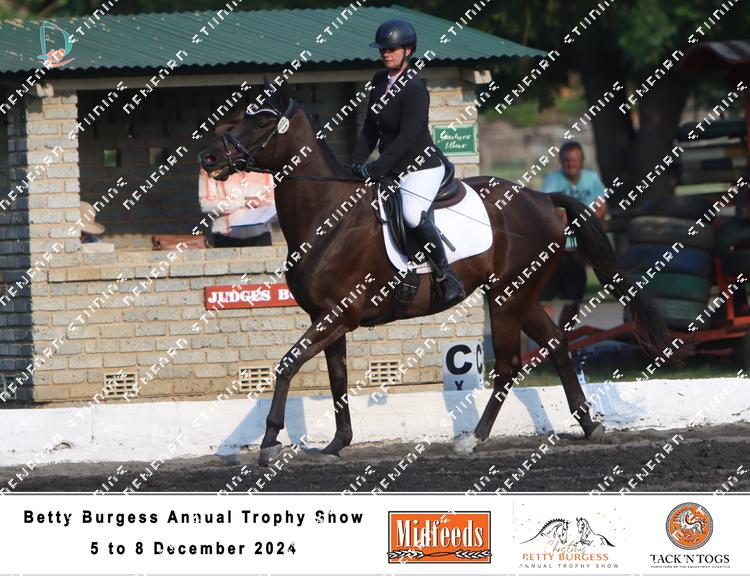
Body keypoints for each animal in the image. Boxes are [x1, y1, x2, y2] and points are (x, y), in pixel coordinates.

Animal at [199, 81, 670, 466]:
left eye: (261, 120)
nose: (209, 157)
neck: (327, 216)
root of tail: (541, 199)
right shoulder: (326, 318)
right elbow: (336, 378)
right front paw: (337, 444)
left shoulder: (338, 316)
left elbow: (287, 364)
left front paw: (269, 443)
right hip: (520, 294)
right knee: (555, 343)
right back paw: (589, 425)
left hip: (507, 297)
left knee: (509, 364)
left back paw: (473, 439)